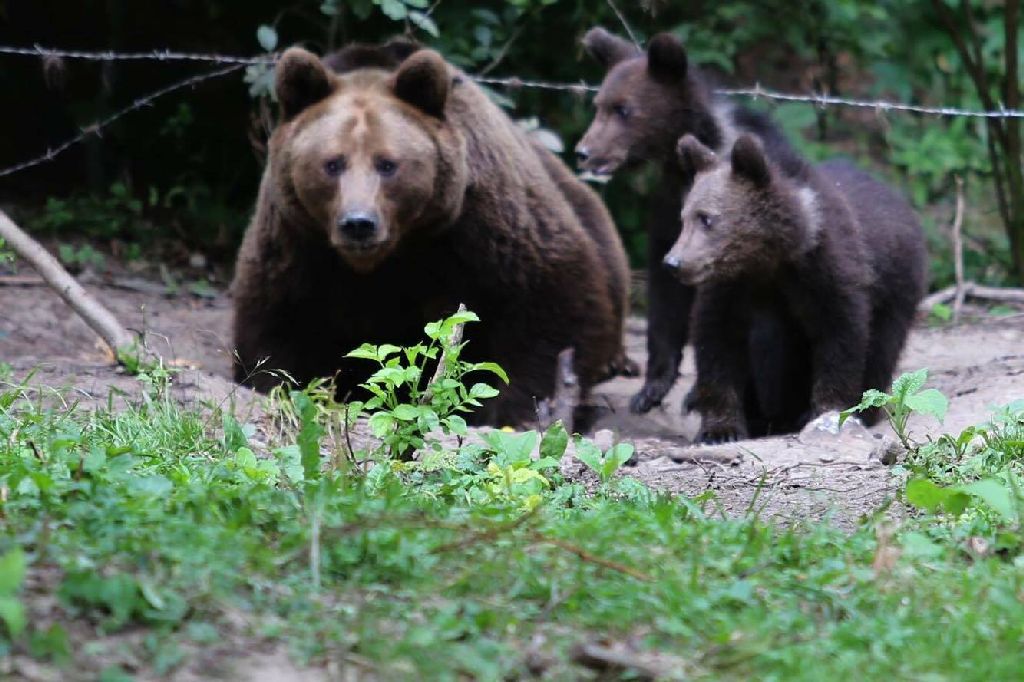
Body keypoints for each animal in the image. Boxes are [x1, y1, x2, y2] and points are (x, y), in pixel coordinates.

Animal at [233, 42, 630, 421]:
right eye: (332, 163)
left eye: (387, 164)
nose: (359, 224)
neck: (392, 253)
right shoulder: (299, 240)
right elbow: (276, 320)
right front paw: (278, 383)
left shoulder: (479, 225)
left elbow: (551, 297)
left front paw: (520, 406)